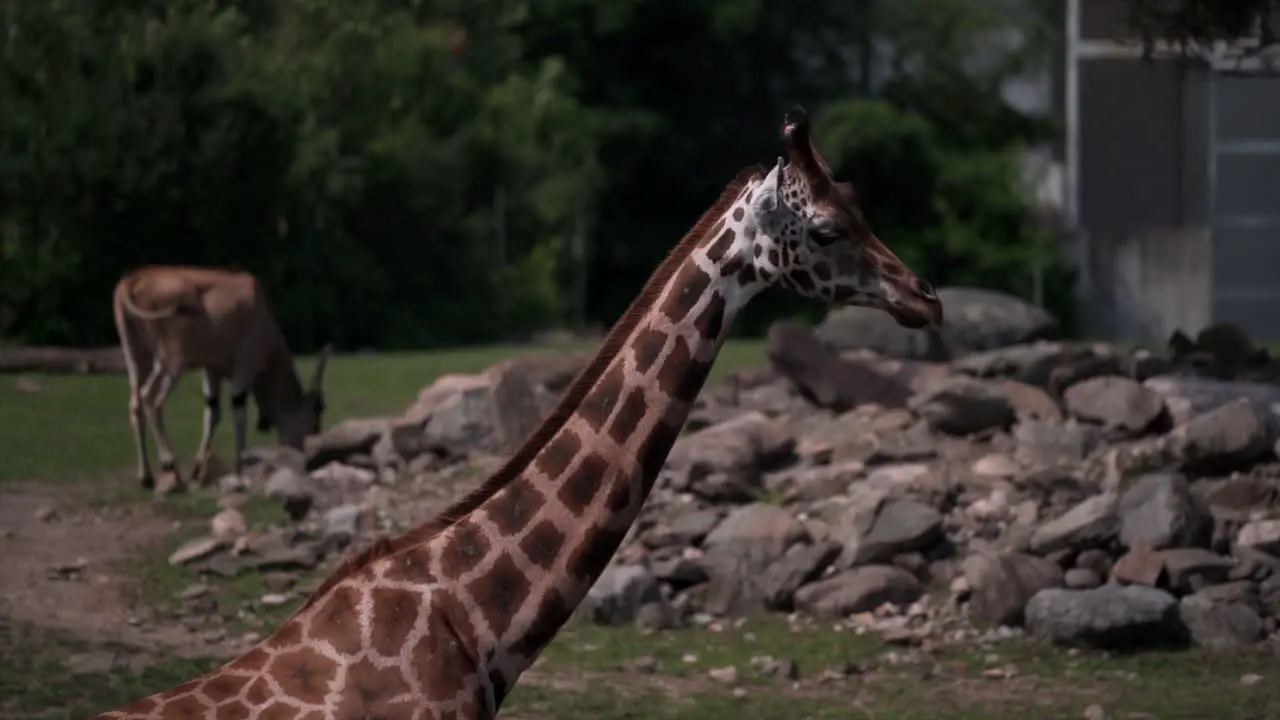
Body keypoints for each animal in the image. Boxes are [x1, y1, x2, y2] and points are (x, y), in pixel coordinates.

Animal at [110, 266, 332, 489]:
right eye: (315, 419)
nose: (309, 460)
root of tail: (132, 280)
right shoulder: (244, 365)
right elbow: (238, 412)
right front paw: (239, 471)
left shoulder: (211, 371)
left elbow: (212, 414)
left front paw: (198, 470)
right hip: (170, 364)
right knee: (151, 399)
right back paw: (169, 464)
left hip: (137, 360)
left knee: (136, 403)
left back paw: (146, 477)